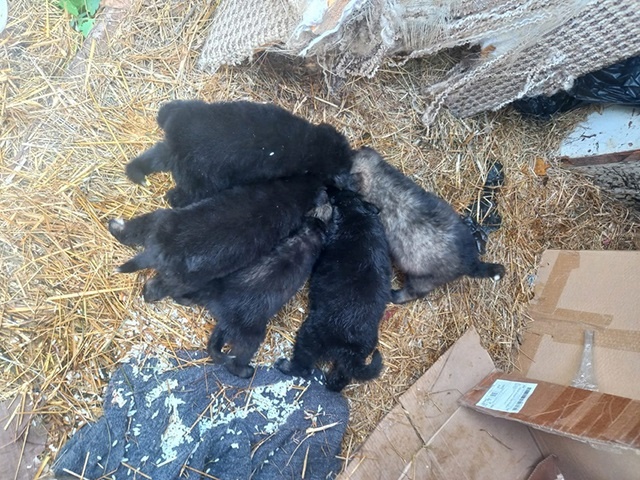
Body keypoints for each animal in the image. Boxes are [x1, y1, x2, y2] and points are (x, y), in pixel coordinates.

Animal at [109, 174, 324, 298]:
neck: (291, 193)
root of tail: (159, 249)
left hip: (158, 220)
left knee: (134, 230)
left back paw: (115, 226)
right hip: (183, 282)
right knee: (155, 290)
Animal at [124, 99, 356, 206]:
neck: (311, 144)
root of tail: (179, 147)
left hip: (175, 136)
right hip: (201, 182)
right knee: (186, 195)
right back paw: (173, 197)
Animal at [276, 186, 390, 392]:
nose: (329, 188)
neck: (357, 214)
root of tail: (350, 349)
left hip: (310, 335)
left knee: (304, 368)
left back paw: (284, 365)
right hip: (348, 362)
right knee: (342, 378)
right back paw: (331, 384)